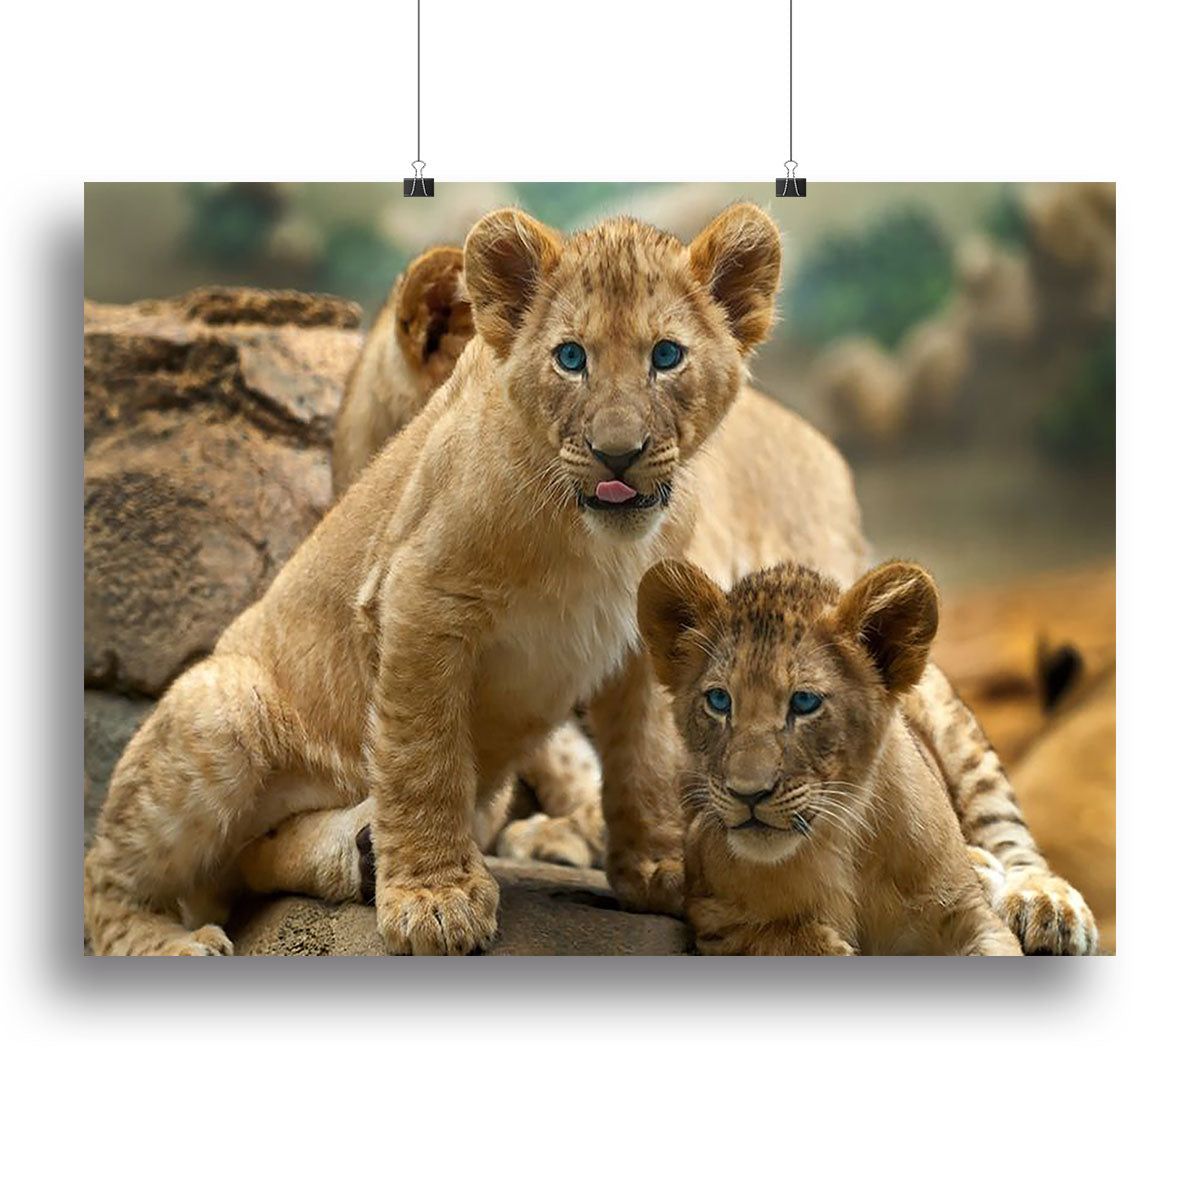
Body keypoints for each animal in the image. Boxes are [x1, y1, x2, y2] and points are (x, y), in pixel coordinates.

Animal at [638, 558, 1027, 955]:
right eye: (719, 700)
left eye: (804, 702)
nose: (747, 794)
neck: (842, 841)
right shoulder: (716, 917)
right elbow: (786, 938)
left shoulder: (968, 913)